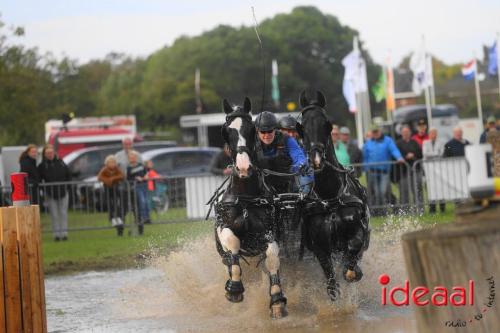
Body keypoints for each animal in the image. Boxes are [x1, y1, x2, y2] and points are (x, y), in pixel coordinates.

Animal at [213, 97, 288, 318]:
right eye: (226, 131)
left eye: (251, 129)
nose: (244, 168)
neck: (245, 196)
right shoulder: (224, 227)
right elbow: (233, 246)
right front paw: (235, 288)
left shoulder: (270, 232)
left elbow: (272, 259)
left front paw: (277, 299)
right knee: (230, 260)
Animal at [298, 89, 370, 300]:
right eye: (302, 127)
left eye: (327, 123)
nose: (316, 159)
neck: (329, 197)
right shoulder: (320, 247)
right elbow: (331, 281)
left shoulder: (357, 232)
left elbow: (352, 256)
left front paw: (354, 272)